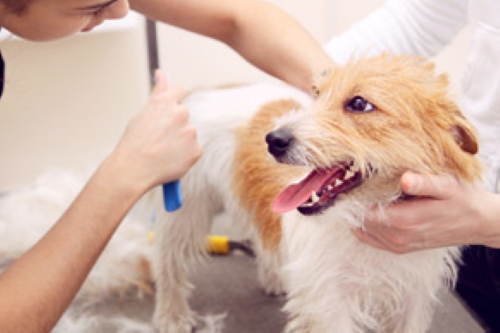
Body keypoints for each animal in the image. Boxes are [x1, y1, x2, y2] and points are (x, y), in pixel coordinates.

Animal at [151, 53, 480, 330]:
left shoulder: (412, 298)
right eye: (318, 94)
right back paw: (172, 316)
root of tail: (207, 91)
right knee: (168, 263)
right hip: (185, 209)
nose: (273, 139)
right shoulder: (331, 306)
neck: (363, 216)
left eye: (359, 104)